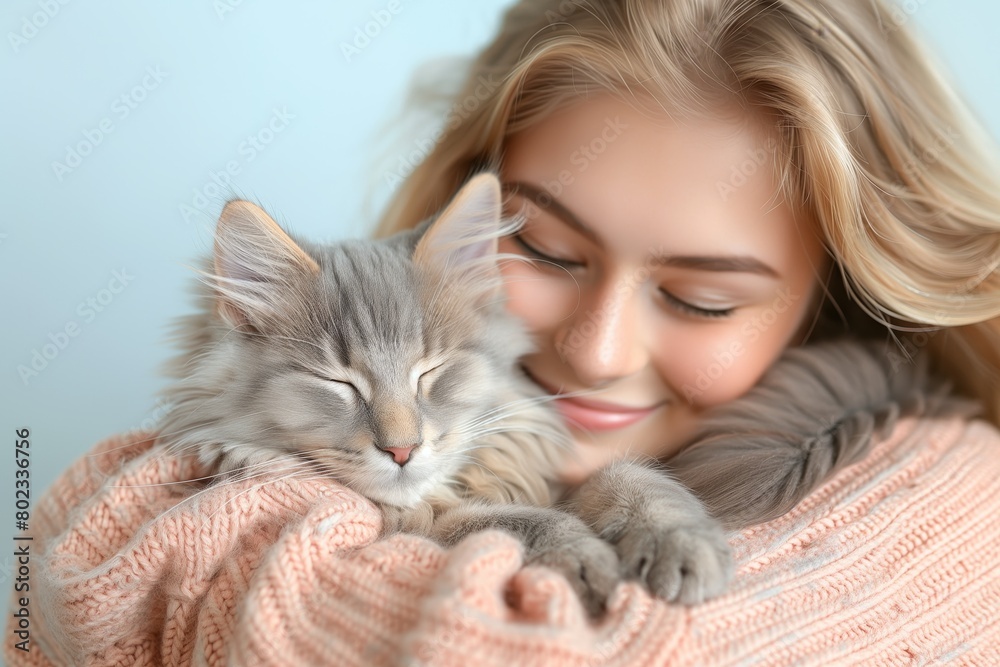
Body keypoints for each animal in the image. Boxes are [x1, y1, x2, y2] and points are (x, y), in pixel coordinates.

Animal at [154, 172, 960, 616]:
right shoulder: (411, 528)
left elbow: (627, 475)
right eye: (337, 383)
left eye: (430, 372)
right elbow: (513, 524)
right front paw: (583, 559)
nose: (403, 448)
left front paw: (679, 542)